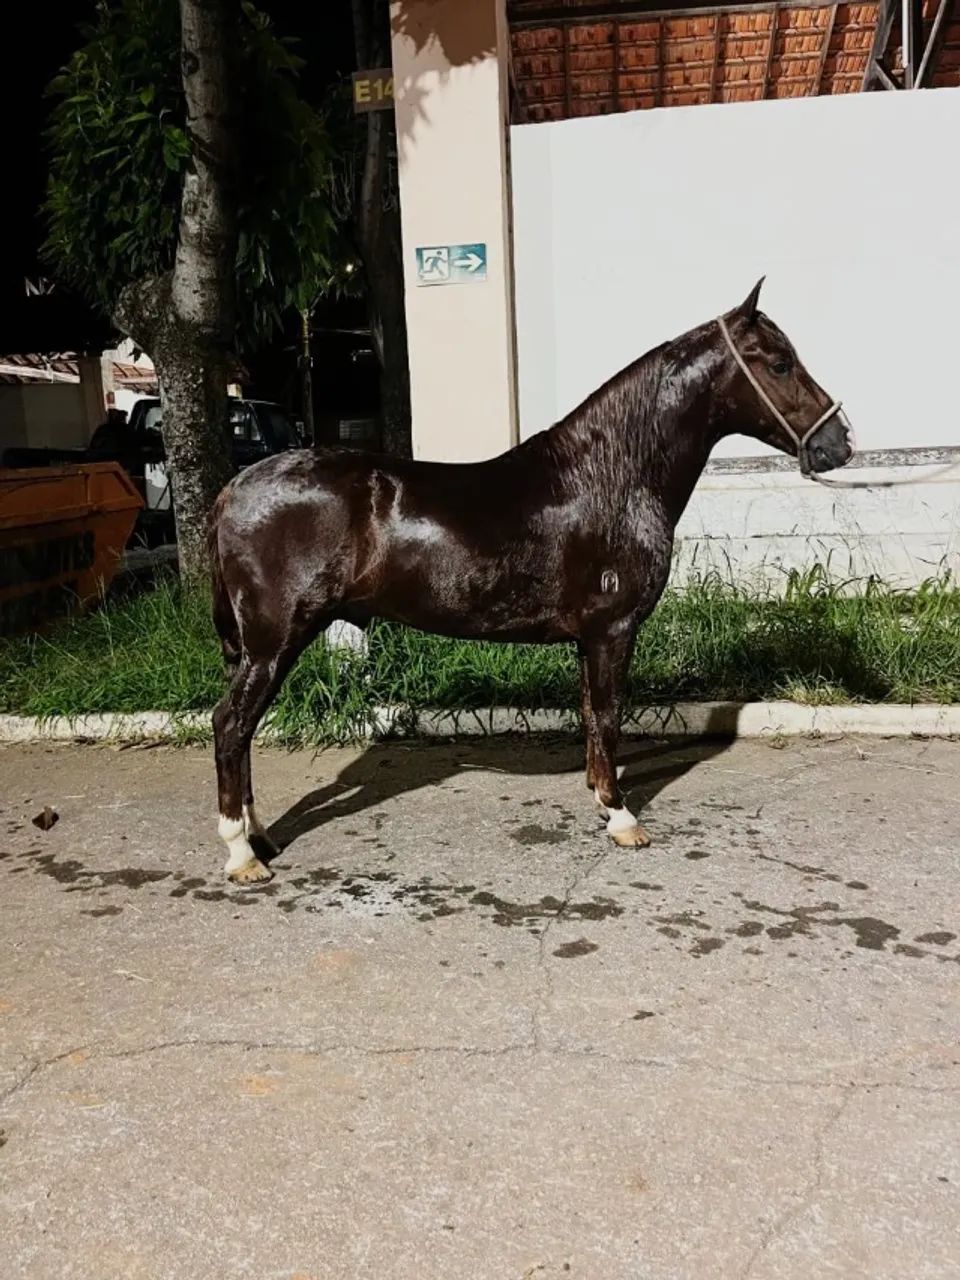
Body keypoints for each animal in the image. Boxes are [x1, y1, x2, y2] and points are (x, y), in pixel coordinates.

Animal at [209, 279, 854, 883]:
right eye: (779, 363)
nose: (839, 443)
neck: (609, 476)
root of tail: (234, 488)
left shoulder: (590, 638)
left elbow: (592, 715)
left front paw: (602, 800)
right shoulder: (613, 630)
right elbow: (609, 715)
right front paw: (622, 817)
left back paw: (259, 835)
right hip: (275, 643)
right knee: (230, 726)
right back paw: (241, 853)